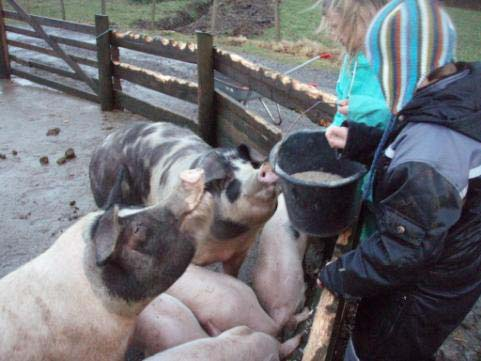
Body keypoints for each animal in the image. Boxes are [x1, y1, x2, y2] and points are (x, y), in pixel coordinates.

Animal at [88, 121, 280, 276]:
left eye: (252, 165)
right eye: (228, 181)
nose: (265, 169)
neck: (226, 241)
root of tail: (104, 143)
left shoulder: (240, 252)